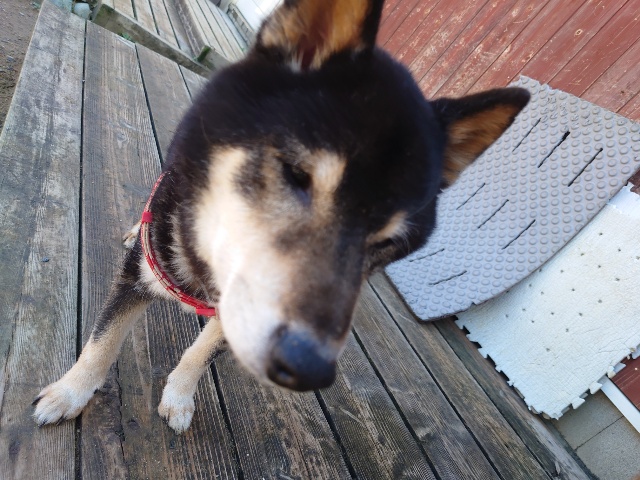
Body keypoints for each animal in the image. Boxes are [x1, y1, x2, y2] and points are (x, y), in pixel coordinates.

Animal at [33, 0, 529, 434]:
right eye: (296, 175)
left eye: (390, 242)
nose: (308, 368)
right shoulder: (138, 279)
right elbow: (102, 342)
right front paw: (69, 393)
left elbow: (197, 356)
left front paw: (179, 397)